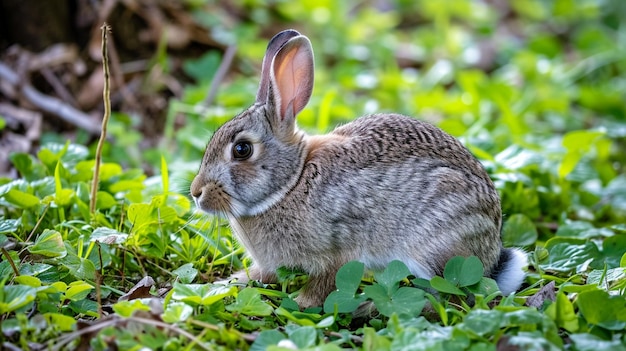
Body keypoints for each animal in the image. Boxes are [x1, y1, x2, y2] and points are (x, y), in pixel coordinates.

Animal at [188, 31, 524, 310]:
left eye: (242, 150)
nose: (196, 192)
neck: (290, 184)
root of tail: (491, 252)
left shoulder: (338, 251)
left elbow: (324, 284)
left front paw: (300, 303)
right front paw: (224, 284)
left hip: (435, 244)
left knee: (445, 296)